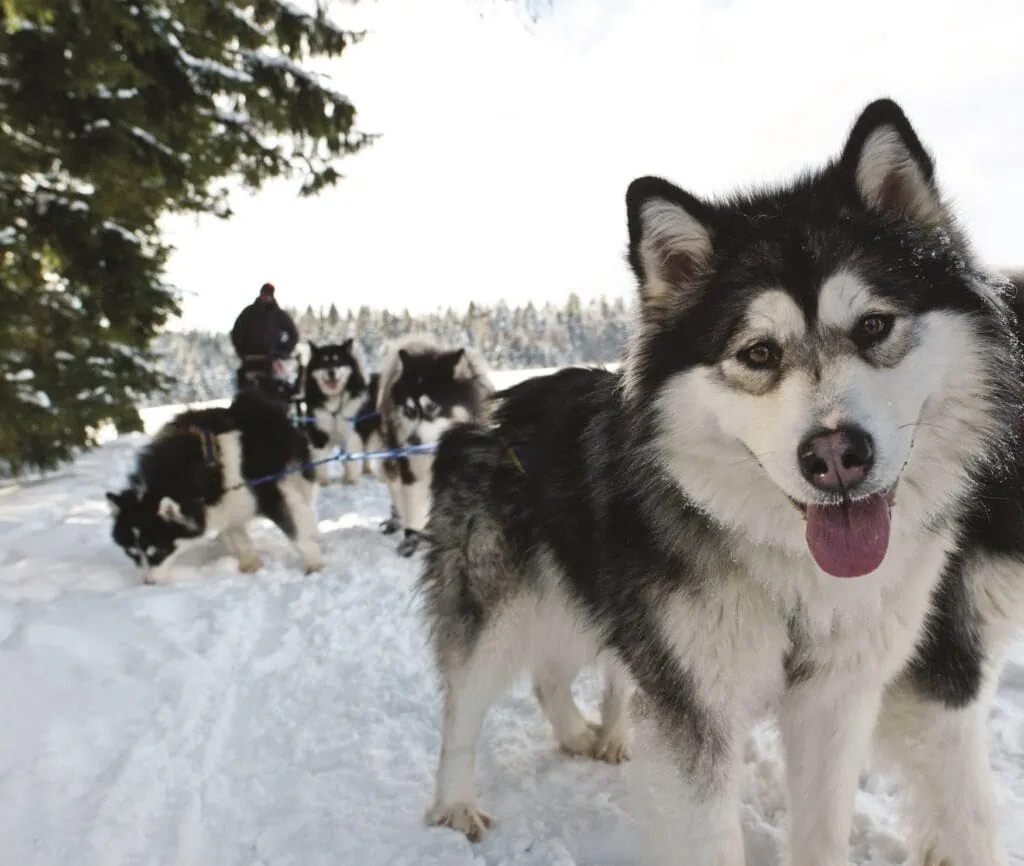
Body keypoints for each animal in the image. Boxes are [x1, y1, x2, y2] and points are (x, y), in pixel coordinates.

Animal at [108, 391, 323, 581]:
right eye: (132, 555)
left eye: (159, 552)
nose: (148, 582)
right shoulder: (224, 505)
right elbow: (237, 535)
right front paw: (250, 564)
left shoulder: (271, 494)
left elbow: (295, 532)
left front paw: (314, 563)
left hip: (298, 476)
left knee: (306, 504)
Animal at [303, 339, 387, 487]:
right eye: (323, 362)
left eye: (338, 361)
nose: (331, 372)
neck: (334, 403)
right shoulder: (319, 433)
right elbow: (320, 459)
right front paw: (322, 481)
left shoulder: (352, 432)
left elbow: (351, 459)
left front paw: (351, 479)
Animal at [419, 96, 1024, 866]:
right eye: (758, 353)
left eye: (873, 326)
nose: (835, 455)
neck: (793, 577)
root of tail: (493, 413)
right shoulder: (695, 711)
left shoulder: (836, 701)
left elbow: (824, 829)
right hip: (500, 611)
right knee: (463, 706)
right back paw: (454, 804)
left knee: (556, 673)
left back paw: (587, 734)